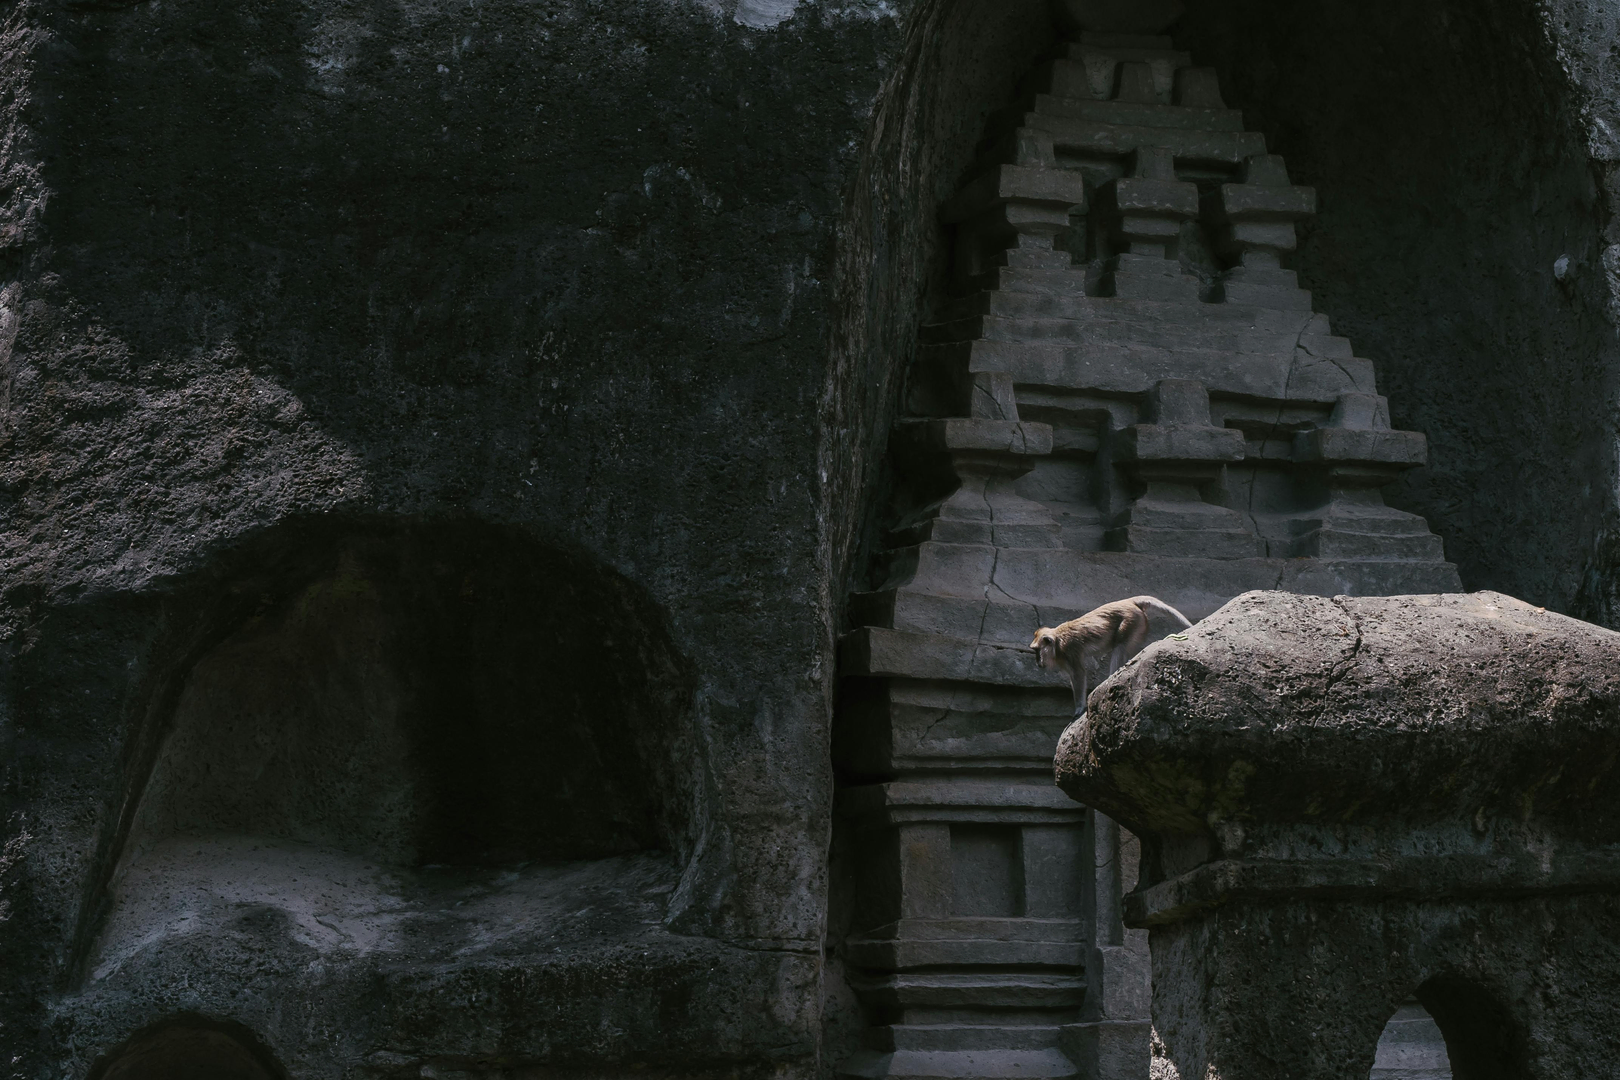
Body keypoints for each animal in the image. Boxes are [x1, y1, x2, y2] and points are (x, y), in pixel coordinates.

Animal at [1030, 595, 1193, 717]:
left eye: (1037, 650)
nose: (1037, 661)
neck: (1057, 641)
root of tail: (1129, 601)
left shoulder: (1070, 650)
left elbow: (1079, 674)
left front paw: (1079, 708)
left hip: (1131, 621)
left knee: (1119, 646)